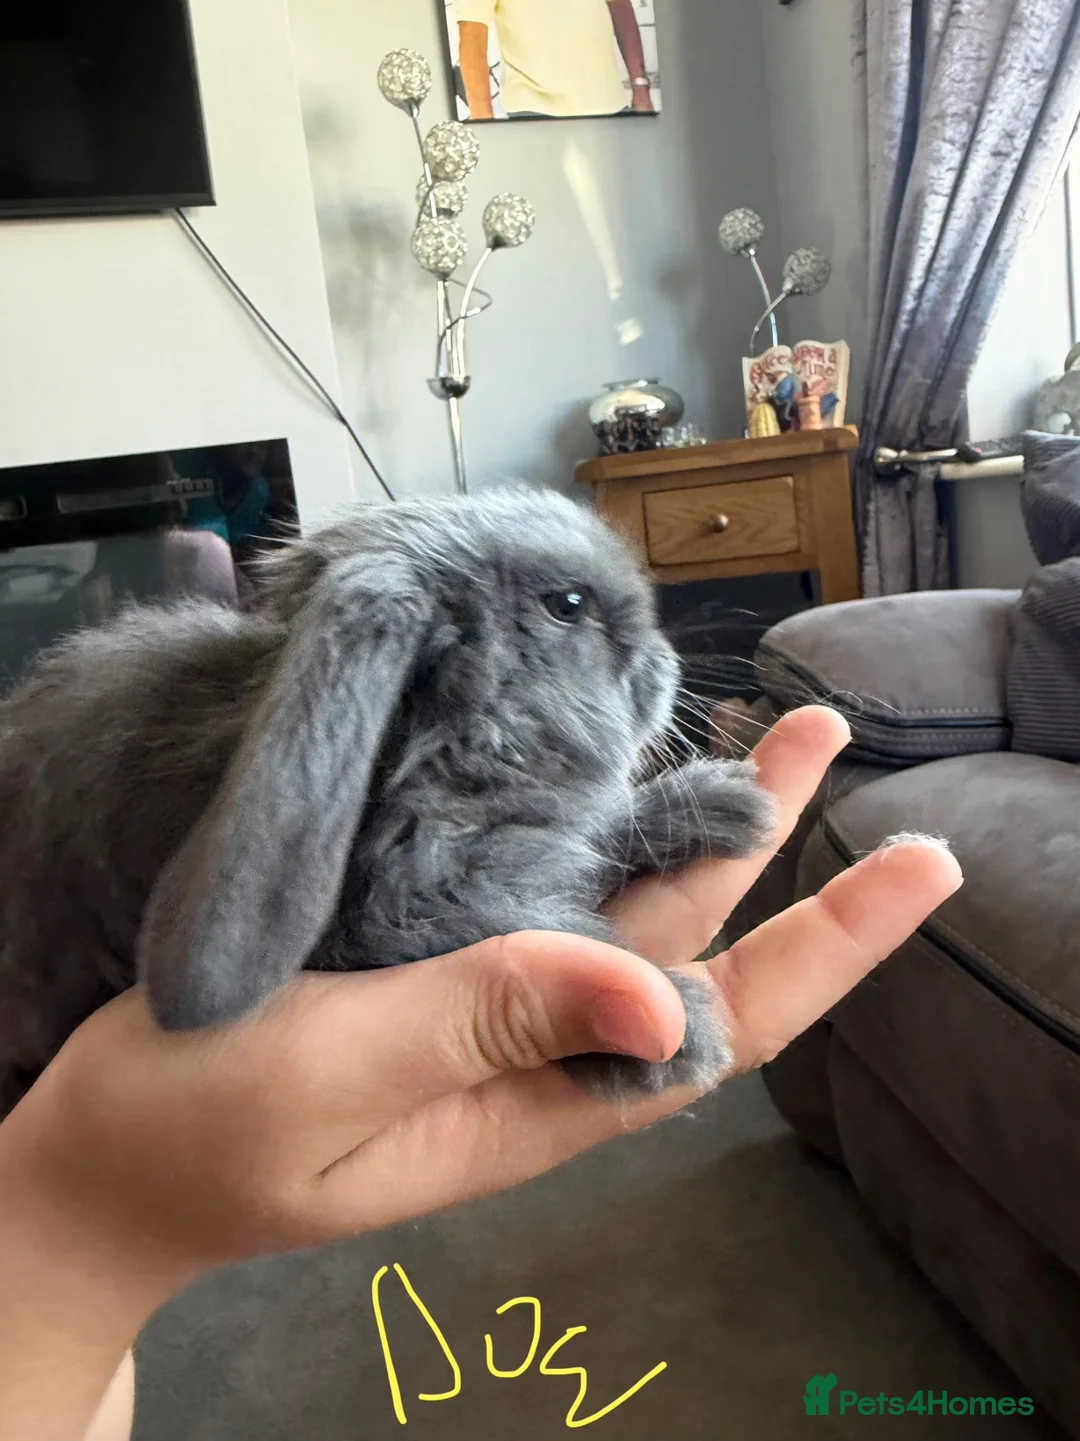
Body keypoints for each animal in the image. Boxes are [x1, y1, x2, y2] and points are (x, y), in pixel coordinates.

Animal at [0, 486, 774, 1117]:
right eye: (569, 606)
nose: (667, 661)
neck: (425, 746)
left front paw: (730, 804)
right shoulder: (392, 918)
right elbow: (539, 926)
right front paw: (675, 1029)